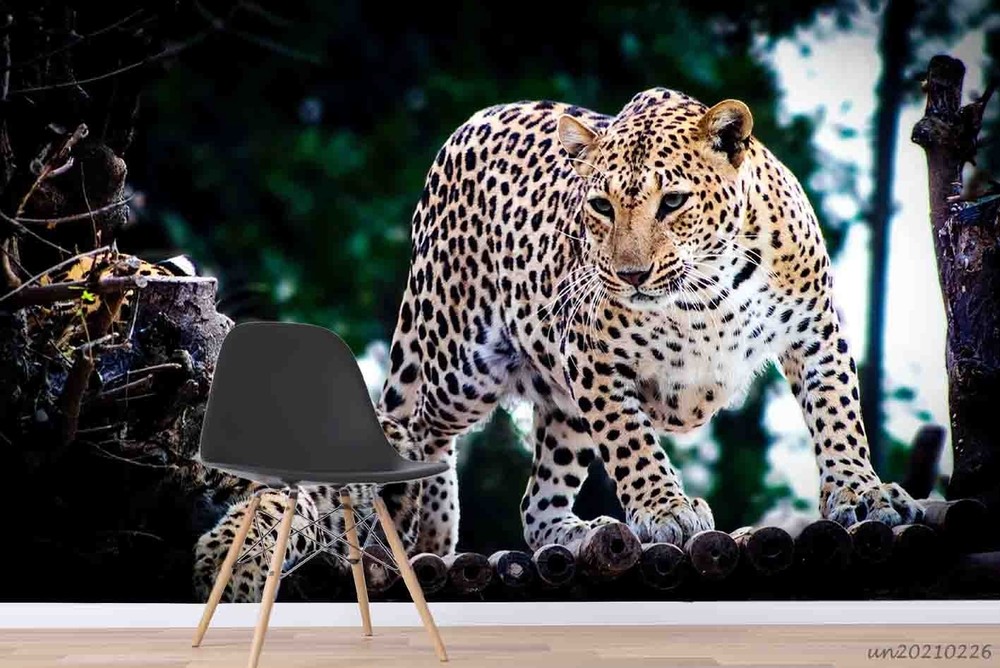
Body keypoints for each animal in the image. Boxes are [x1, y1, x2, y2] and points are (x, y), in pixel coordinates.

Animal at [377, 86, 924, 555]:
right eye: (601, 206)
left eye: (674, 201)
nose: (631, 274)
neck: (709, 288)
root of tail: (466, 126)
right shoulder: (592, 356)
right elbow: (631, 441)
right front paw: (667, 509)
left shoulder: (816, 331)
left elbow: (839, 415)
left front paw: (862, 493)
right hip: (463, 364)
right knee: (416, 424)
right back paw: (431, 529)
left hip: (559, 405)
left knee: (536, 505)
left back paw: (574, 532)